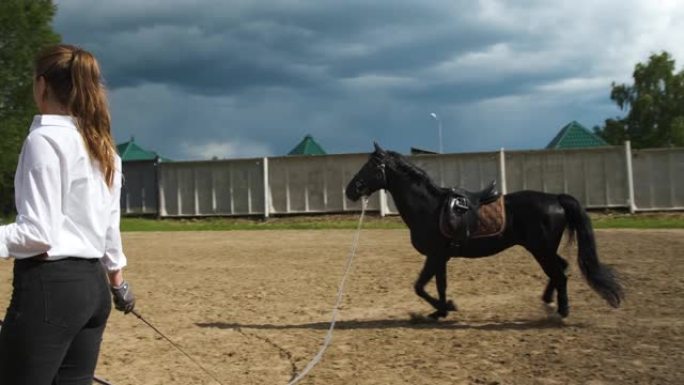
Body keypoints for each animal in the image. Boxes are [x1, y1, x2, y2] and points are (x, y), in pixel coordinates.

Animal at [348, 143, 624, 318]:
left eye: (372, 165)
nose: (350, 189)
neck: (429, 208)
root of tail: (556, 198)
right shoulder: (441, 257)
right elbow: (438, 286)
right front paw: (442, 310)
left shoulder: (435, 255)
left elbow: (420, 286)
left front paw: (447, 307)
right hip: (543, 249)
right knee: (561, 269)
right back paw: (548, 301)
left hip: (541, 249)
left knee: (560, 274)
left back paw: (561, 311)